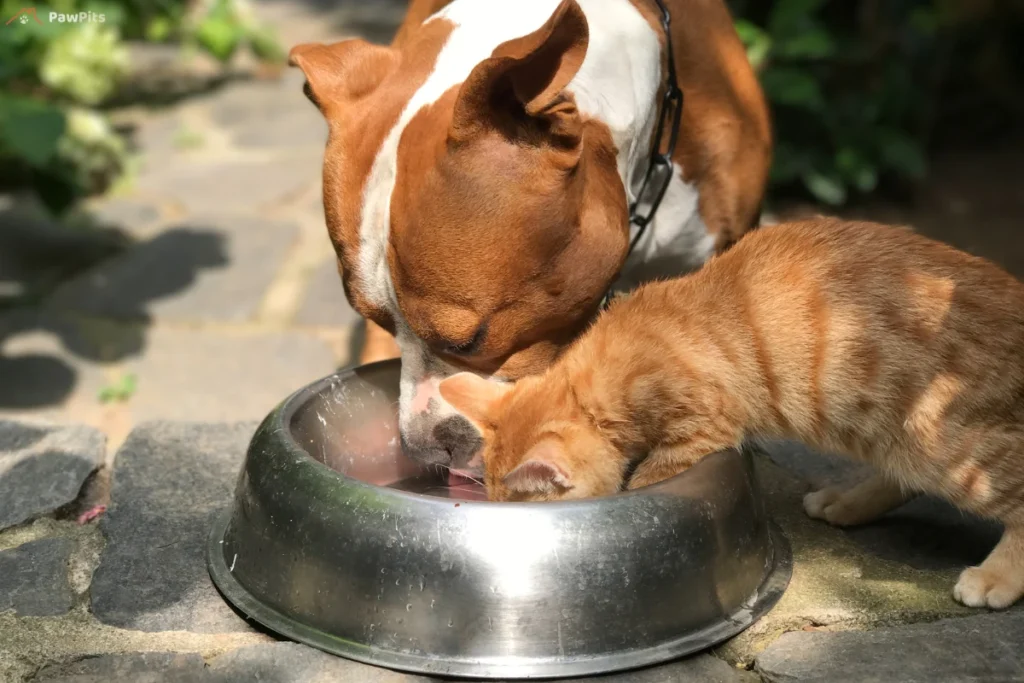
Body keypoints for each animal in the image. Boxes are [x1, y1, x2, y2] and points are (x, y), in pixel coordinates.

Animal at [440, 218, 1024, 610]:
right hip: (887, 432)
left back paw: (997, 578)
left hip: (941, 441)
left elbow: (647, 478)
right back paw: (848, 500)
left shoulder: (701, 428)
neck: (599, 379)